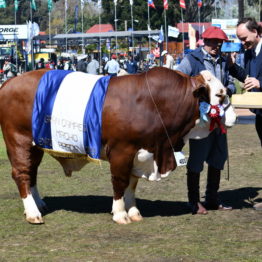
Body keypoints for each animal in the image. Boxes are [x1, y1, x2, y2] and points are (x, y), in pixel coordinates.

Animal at [0, 67, 235, 223]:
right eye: (220, 95)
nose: (233, 117)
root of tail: (9, 82)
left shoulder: (141, 153)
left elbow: (132, 183)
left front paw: (134, 212)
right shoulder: (122, 150)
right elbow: (120, 181)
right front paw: (120, 213)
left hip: (35, 146)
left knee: (31, 173)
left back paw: (38, 205)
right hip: (18, 141)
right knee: (21, 173)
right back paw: (33, 213)